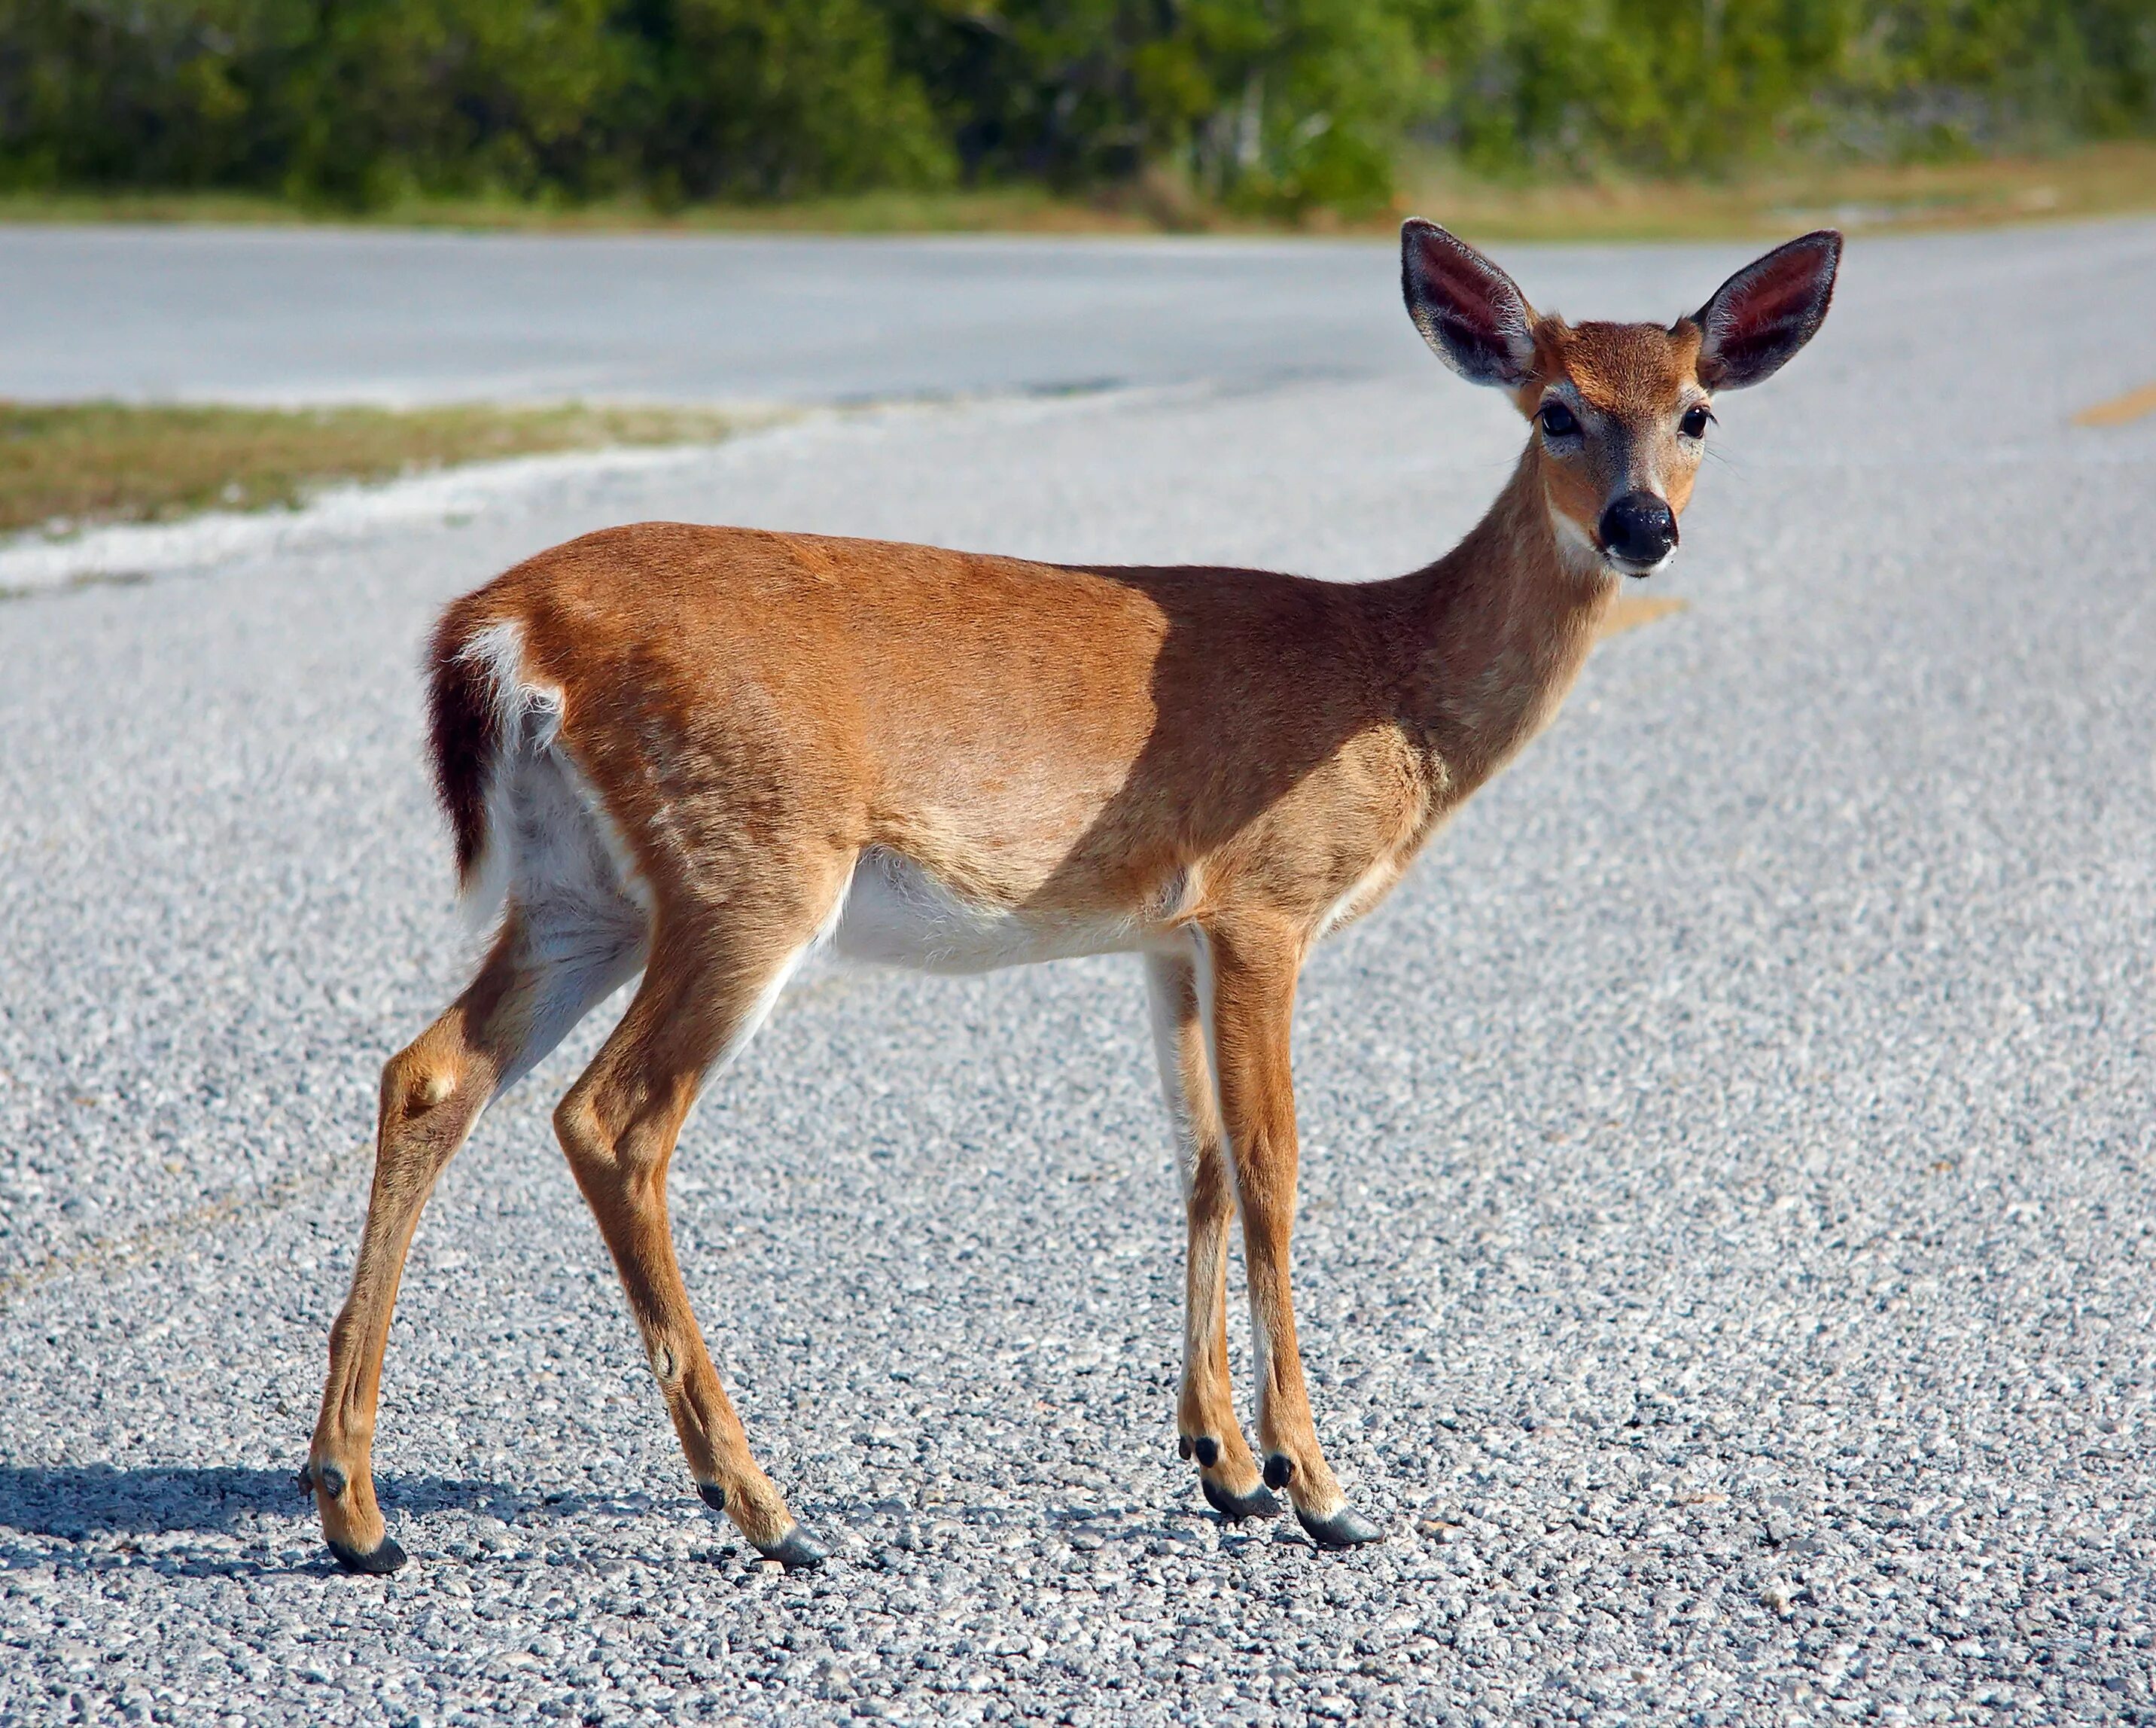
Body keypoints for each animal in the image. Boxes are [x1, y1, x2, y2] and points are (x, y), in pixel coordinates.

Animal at [308, 215, 1837, 1562]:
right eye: (1555, 411)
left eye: (1698, 412)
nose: (1641, 527)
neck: (1392, 684)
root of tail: (501, 624)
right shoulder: (1266, 900)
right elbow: (1276, 1167)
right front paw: (1320, 1486)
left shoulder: (1166, 931)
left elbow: (1199, 1160)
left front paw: (1223, 1463)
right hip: (748, 866)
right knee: (612, 1119)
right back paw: (760, 1505)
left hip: (584, 890)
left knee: (428, 1073)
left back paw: (355, 1506)